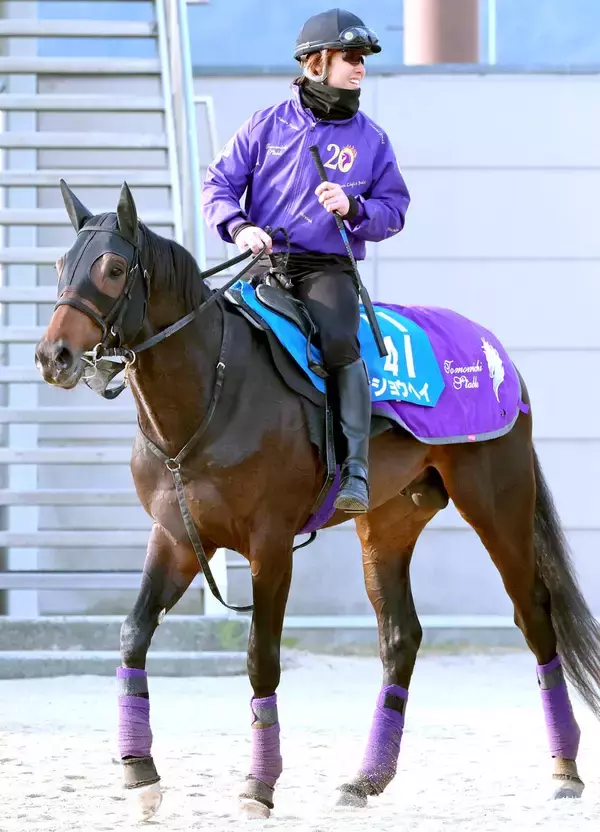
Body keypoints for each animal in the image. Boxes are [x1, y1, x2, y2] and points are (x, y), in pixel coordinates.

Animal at [34, 181, 600, 821]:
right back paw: (367, 778)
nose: (53, 355)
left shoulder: (271, 546)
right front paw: (140, 773)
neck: (213, 391)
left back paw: (565, 769)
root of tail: (496, 354)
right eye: (59, 265)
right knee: (400, 637)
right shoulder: (176, 537)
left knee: (534, 613)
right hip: (387, 524)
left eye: (112, 268)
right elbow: (133, 634)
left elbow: (261, 658)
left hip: (497, 504)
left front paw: (258, 786)